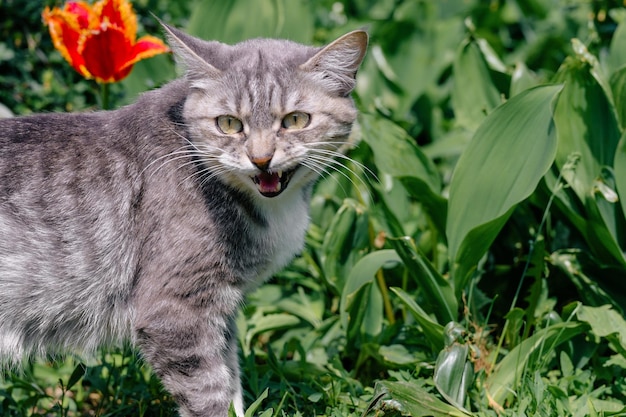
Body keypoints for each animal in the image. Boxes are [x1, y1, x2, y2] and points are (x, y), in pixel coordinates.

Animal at [0, 23, 366, 416]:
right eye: (229, 124)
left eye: (296, 119)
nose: (261, 159)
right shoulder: (174, 310)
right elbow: (209, 393)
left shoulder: (221, 310)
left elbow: (231, 381)